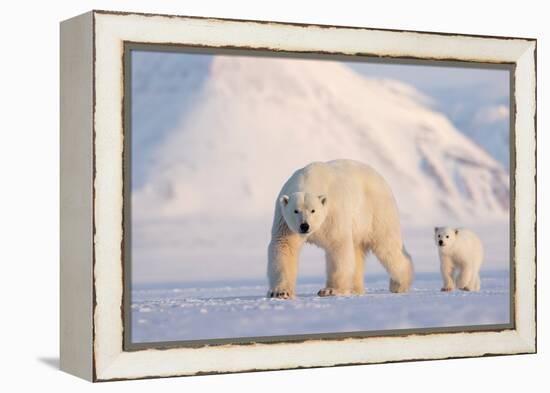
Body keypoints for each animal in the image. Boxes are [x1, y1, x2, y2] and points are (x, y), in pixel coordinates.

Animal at [266, 158, 414, 298]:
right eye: (295, 211)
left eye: (313, 210)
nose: (305, 226)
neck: (309, 179)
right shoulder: (285, 221)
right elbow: (284, 246)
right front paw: (280, 292)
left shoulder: (333, 213)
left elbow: (337, 245)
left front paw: (330, 290)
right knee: (358, 252)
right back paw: (355, 289)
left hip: (376, 211)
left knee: (387, 244)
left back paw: (399, 284)